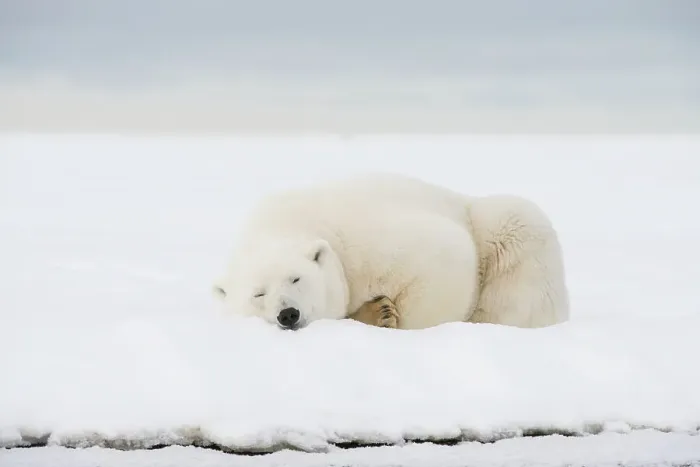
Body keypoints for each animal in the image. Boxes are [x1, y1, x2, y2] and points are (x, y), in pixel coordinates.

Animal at [213, 172, 569, 330]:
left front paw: (388, 316)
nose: (287, 314)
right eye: (258, 294)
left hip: (501, 227)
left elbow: (445, 256)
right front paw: (378, 311)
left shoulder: (363, 243)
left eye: (296, 279)